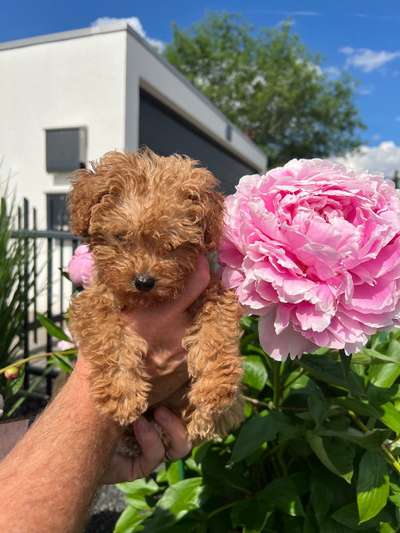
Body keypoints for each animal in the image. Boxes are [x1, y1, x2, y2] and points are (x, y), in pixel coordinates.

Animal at [68, 148, 244, 438]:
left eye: (173, 245)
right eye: (121, 236)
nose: (144, 281)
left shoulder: (213, 290)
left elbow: (217, 330)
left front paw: (214, 388)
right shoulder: (94, 300)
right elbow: (109, 336)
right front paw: (122, 393)